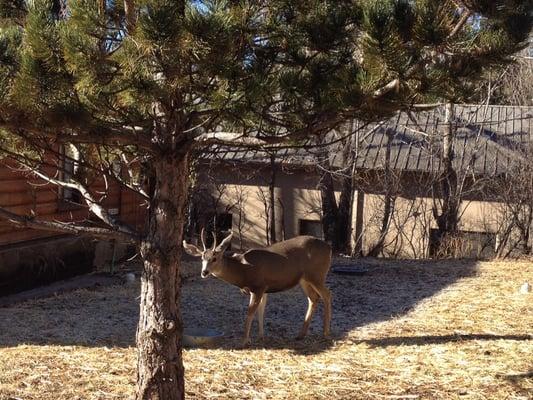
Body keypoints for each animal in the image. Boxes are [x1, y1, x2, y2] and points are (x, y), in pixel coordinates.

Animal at [184, 230, 332, 346]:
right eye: (202, 258)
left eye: (215, 258)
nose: (204, 272)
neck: (243, 270)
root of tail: (329, 248)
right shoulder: (264, 288)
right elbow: (261, 311)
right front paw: (261, 336)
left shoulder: (258, 286)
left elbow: (250, 313)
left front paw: (244, 341)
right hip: (304, 279)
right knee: (313, 298)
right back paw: (301, 335)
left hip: (316, 274)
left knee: (327, 294)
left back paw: (325, 333)